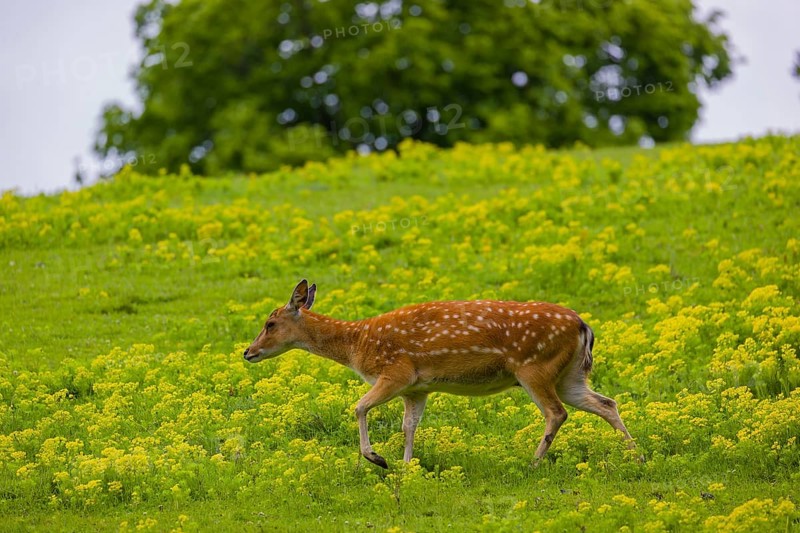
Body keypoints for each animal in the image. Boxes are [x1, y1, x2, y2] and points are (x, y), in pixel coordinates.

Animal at [243, 279, 634, 469]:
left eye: (270, 323)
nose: (248, 352)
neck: (359, 345)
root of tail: (584, 326)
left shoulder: (396, 372)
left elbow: (359, 407)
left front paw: (378, 459)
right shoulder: (417, 388)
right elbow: (409, 426)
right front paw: (405, 466)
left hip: (535, 366)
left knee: (557, 412)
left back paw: (533, 463)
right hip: (569, 375)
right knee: (606, 403)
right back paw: (636, 455)